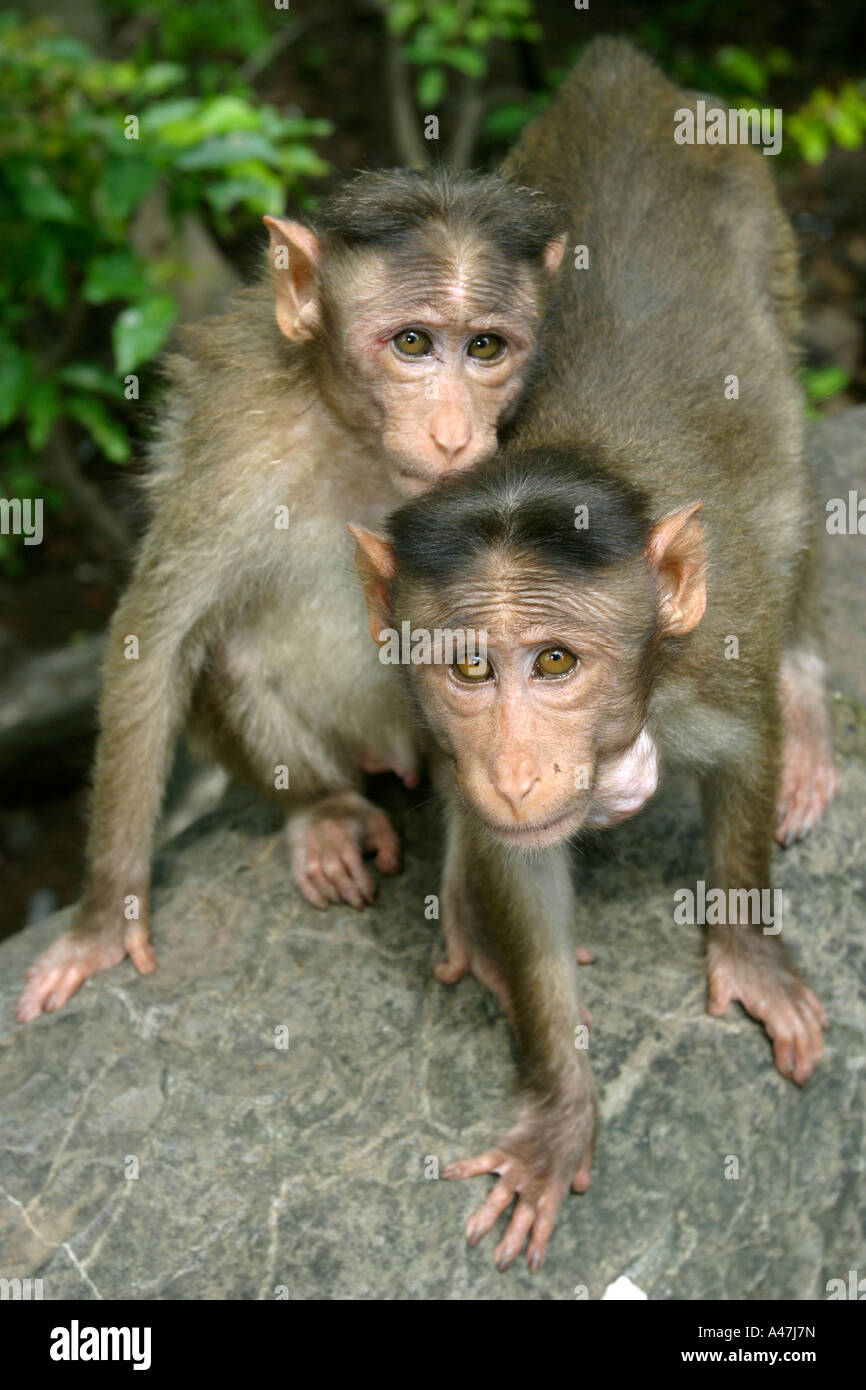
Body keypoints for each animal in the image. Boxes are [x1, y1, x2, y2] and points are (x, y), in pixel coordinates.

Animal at [16, 173, 569, 1023]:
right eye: (412, 343)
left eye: (485, 347)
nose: (451, 434)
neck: (358, 440)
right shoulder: (237, 443)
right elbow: (156, 639)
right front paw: (105, 917)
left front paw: (479, 915)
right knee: (227, 656)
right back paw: (324, 814)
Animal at [350, 35, 834, 1273]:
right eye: (471, 669)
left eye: (558, 664)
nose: (519, 768)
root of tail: (621, 70)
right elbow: (523, 881)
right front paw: (558, 1110)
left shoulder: (712, 653)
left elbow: (746, 752)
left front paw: (748, 955)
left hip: (760, 214)